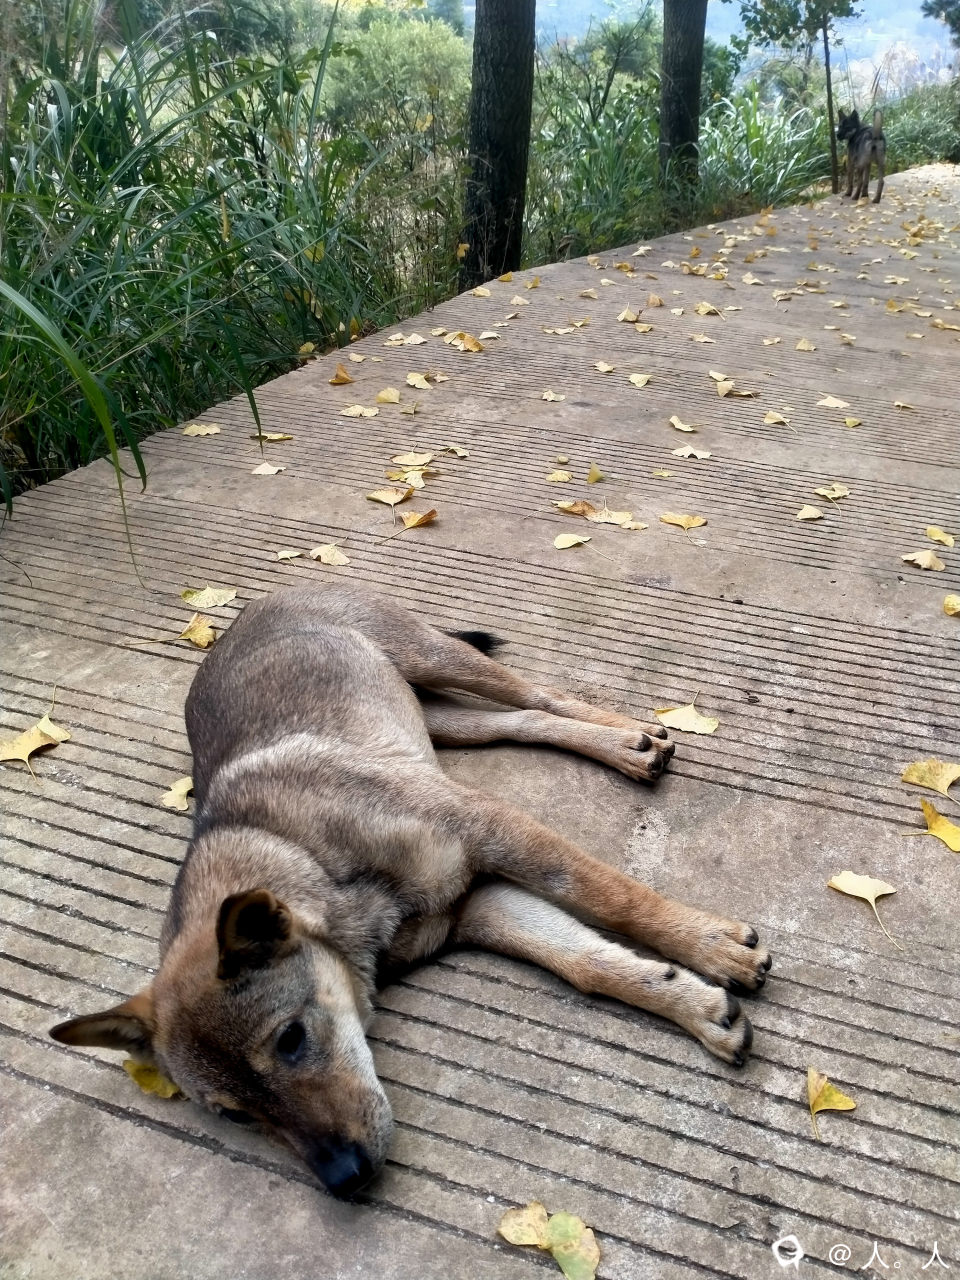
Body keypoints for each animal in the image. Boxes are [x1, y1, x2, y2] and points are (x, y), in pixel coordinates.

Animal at [50, 585, 771, 1198]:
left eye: (290, 1039)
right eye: (233, 1115)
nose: (345, 1180)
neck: (306, 859)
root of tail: (247, 610)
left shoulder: (490, 829)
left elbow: (614, 897)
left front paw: (711, 946)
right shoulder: (478, 904)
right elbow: (584, 961)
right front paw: (695, 1006)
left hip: (435, 654)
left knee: (539, 693)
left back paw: (627, 736)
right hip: (432, 715)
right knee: (518, 720)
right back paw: (620, 746)